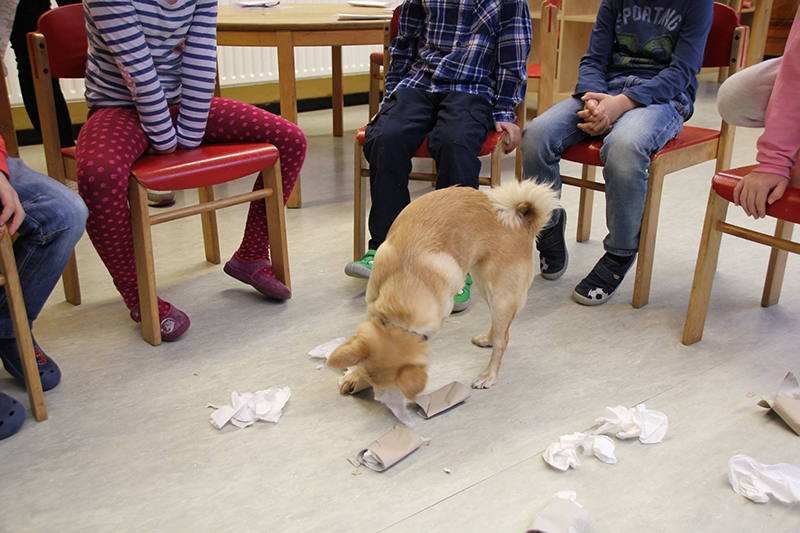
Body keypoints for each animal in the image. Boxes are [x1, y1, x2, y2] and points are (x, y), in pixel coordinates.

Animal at [326, 181, 556, 396]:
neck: (408, 276)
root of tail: (523, 221)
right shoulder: (372, 306)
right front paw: (354, 376)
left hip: (501, 294)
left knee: (503, 339)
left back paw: (489, 375)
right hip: (485, 285)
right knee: (501, 329)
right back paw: (488, 339)